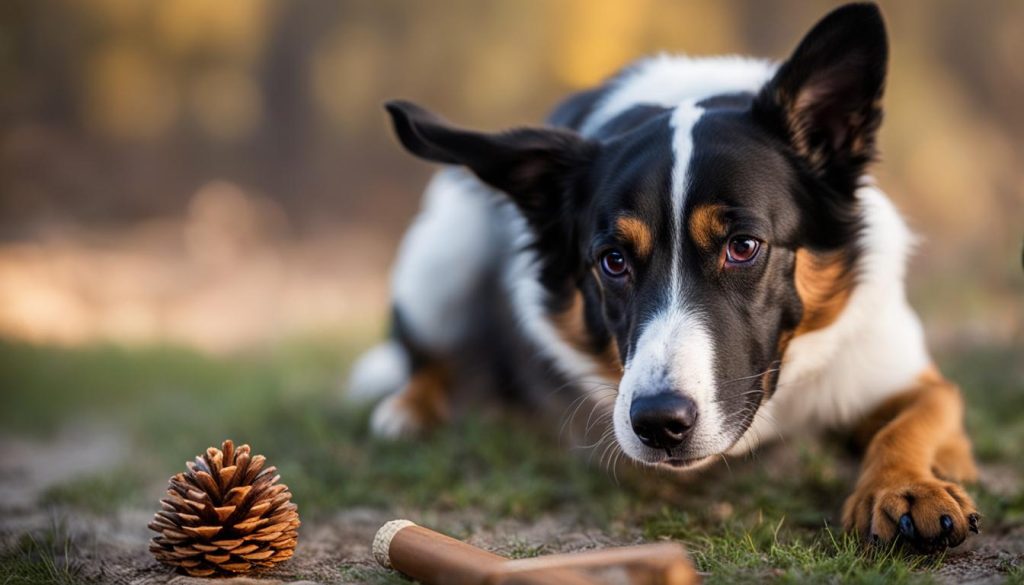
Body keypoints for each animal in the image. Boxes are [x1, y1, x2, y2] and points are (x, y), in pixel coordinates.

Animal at [350, 2, 974, 553]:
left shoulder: (889, 367)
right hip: (441, 255)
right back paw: (410, 409)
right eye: (613, 260)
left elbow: (925, 411)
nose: (658, 424)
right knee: (427, 356)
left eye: (743, 247)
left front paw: (908, 484)